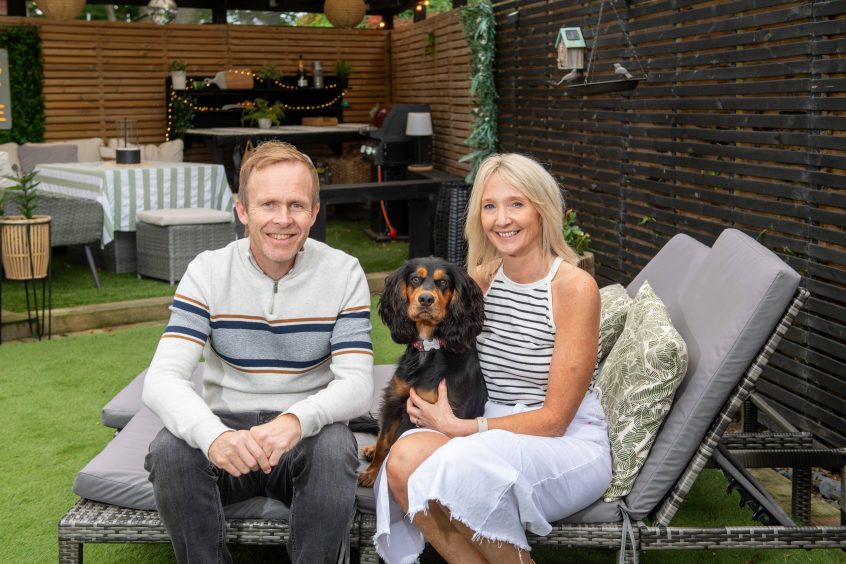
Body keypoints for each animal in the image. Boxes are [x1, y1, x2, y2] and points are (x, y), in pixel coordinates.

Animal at [360, 258, 490, 486]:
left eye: (443, 282)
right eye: (415, 279)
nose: (426, 299)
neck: (428, 349)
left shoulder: (449, 415)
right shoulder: (394, 400)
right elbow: (384, 441)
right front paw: (371, 473)